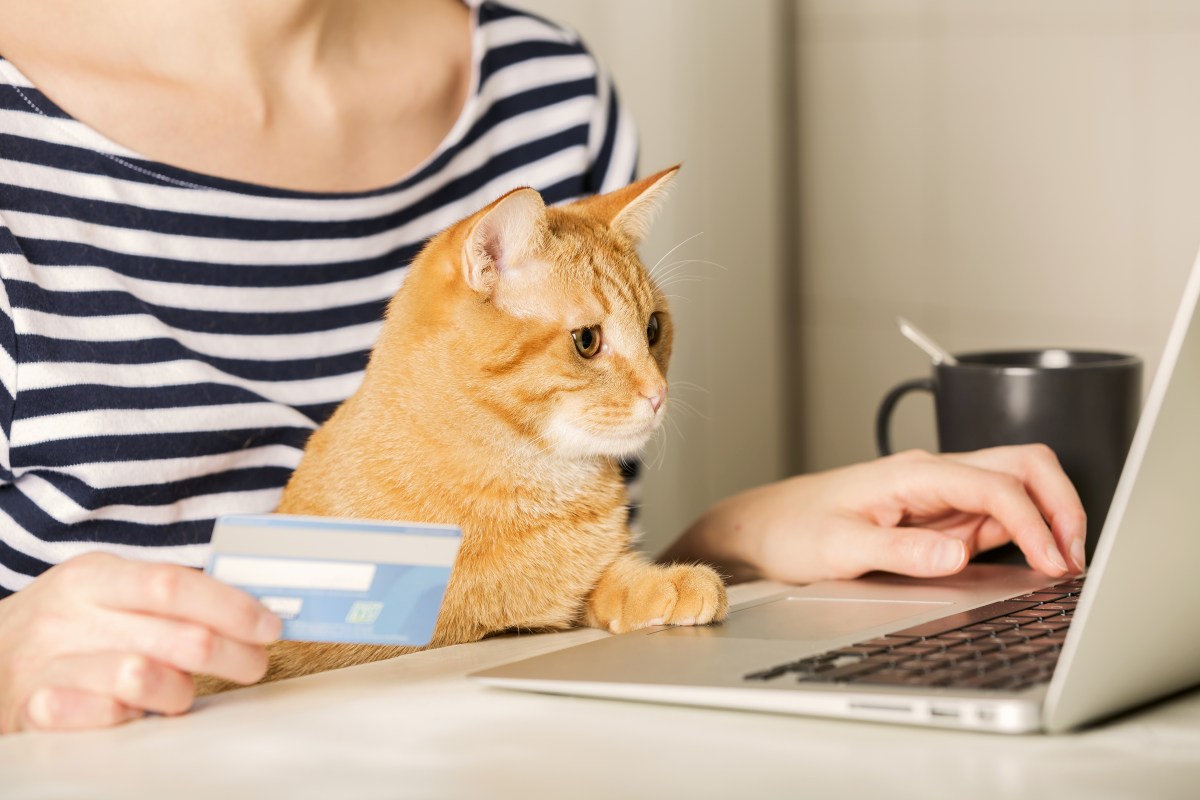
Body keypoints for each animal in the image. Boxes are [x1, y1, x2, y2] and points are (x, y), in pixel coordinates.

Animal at [196, 167, 724, 695]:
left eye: (653, 329)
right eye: (587, 341)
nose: (658, 393)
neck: (536, 486)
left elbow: (607, 578)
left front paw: (664, 581)